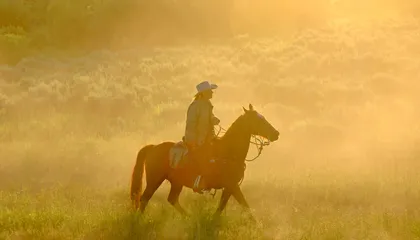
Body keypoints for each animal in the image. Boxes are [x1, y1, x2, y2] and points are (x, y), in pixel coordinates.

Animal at [128, 103, 278, 218]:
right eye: (259, 120)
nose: (276, 133)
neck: (229, 151)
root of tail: (153, 147)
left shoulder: (231, 187)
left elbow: (238, 206)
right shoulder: (232, 186)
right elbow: (237, 206)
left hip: (176, 183)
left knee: (172, 199)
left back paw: (188, 218)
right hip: (154, 180)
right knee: (144, 199)